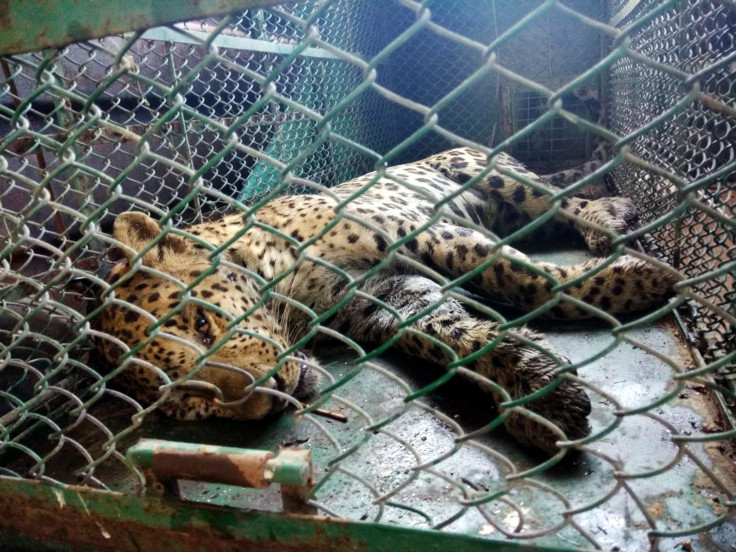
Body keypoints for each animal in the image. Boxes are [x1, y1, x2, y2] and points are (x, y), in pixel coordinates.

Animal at [95, 146, 680, 452]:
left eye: (201, 323)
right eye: (187, 401)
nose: (269, 394)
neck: (292, 289)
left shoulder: (430, 234)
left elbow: (526, 279)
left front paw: (640, 282)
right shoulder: (384, 297)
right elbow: (444, 334)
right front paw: (532, 390)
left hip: (497, 178)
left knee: (560, 199)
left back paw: (611, 221)